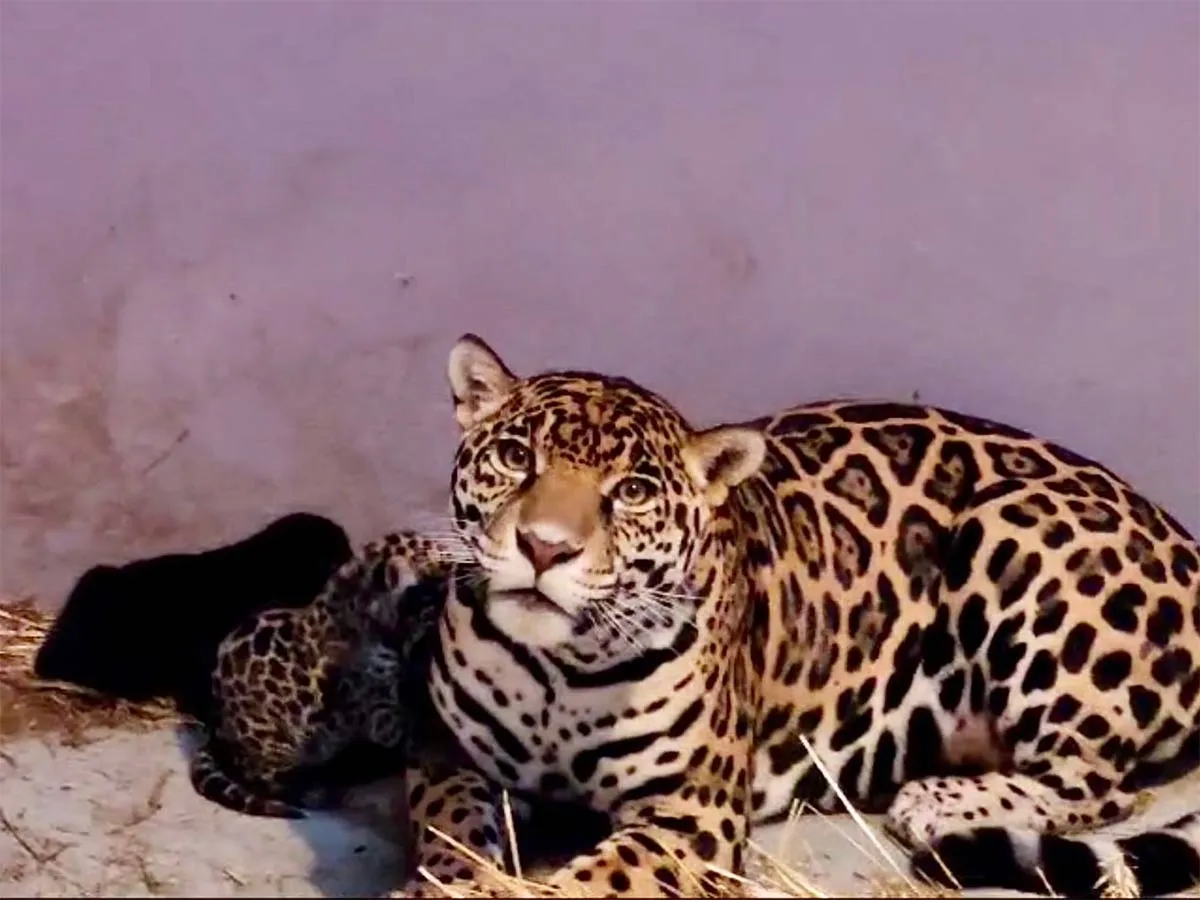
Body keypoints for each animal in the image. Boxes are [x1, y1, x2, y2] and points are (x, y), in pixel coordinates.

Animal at [188, 531, 451, 819]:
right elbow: (409, 725)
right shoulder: (378, 711)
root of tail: (217, 728)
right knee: (272, 777)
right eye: (436, 563)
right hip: (272, 744)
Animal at [391, 332, 1200, 898]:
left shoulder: (692, 813)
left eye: (633, 493)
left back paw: (936, 801)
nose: (544, 546)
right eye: (515, 457)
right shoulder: (445, 753)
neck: (558, 670)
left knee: (1100, 785)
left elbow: (589, 881)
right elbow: (451, 830)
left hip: (1016, 530)